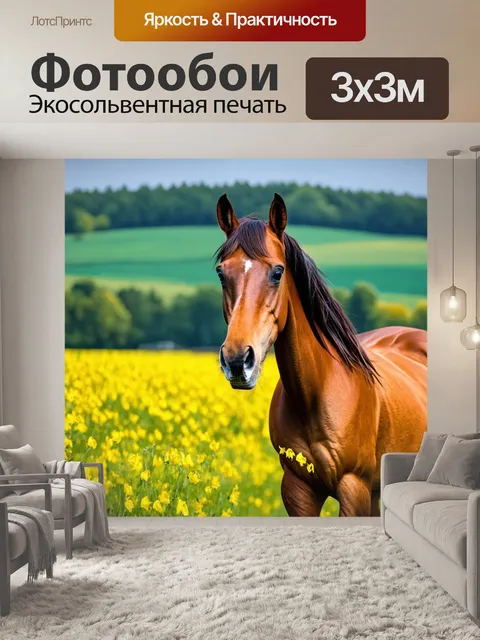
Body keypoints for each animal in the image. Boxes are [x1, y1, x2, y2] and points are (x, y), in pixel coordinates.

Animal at [214, 192, 427, 517]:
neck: (315, 393)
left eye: (278, 272)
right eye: (221, 273)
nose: (238, 360)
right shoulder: (297, 489)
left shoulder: (354, 487)